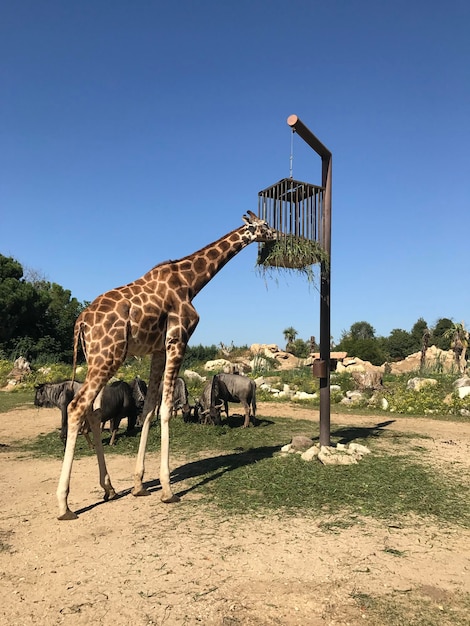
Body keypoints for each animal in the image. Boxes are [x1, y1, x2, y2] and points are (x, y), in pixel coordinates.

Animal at [56, 210, 276, 516]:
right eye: (264, 225)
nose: (277, 235)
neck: (190, 282)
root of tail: (80, 323)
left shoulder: (158, 349)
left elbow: (150, 408)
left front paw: (139, 485)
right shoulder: (178, 340)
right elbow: (166, 410)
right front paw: (167, 490)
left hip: (96, 359)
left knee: (92, 411)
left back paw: (109, 488)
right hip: (108, 356)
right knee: (77, 406)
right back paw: (65, 505)